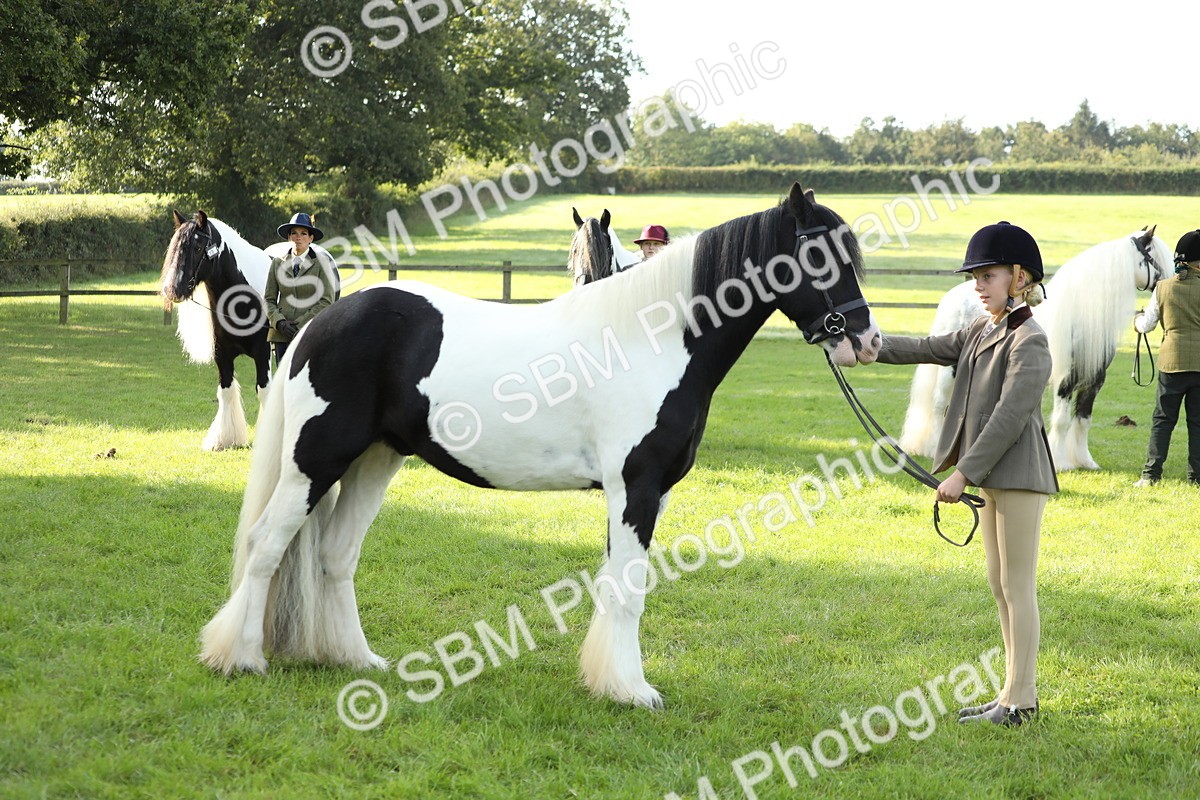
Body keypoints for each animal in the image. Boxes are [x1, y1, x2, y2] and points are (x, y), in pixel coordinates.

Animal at [160, 210, 272, 451]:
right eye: (174, 246)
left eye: (196, 247)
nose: (171, 289)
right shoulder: (222, 354)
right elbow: (226, 392)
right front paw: (224, 439)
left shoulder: (263, 352)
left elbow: (264, 391)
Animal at [198, 183, 883, 708]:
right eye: (818, 252)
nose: (867, 340)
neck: (654, 338)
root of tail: (319, 325)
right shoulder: (635, 489)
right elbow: (628, 588)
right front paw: (631, 691)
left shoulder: (647, 494)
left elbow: (619, 583)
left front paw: (609, 681)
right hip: (313, 464)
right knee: (265, 545)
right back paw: (243, 657)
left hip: (374, 461)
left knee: (334, 557)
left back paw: (357, 660)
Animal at [899, 228, 1170, 470]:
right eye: (1154, 258)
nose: (1168, 283)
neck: (1083, 313)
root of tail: (953, 296)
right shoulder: (1065, 379)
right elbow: (1061, 421)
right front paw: (1061, 463)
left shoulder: (1094, 380)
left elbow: (1083, 419)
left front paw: (1085, 461)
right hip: (949, 370)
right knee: (938, 403)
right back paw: (933, 447)